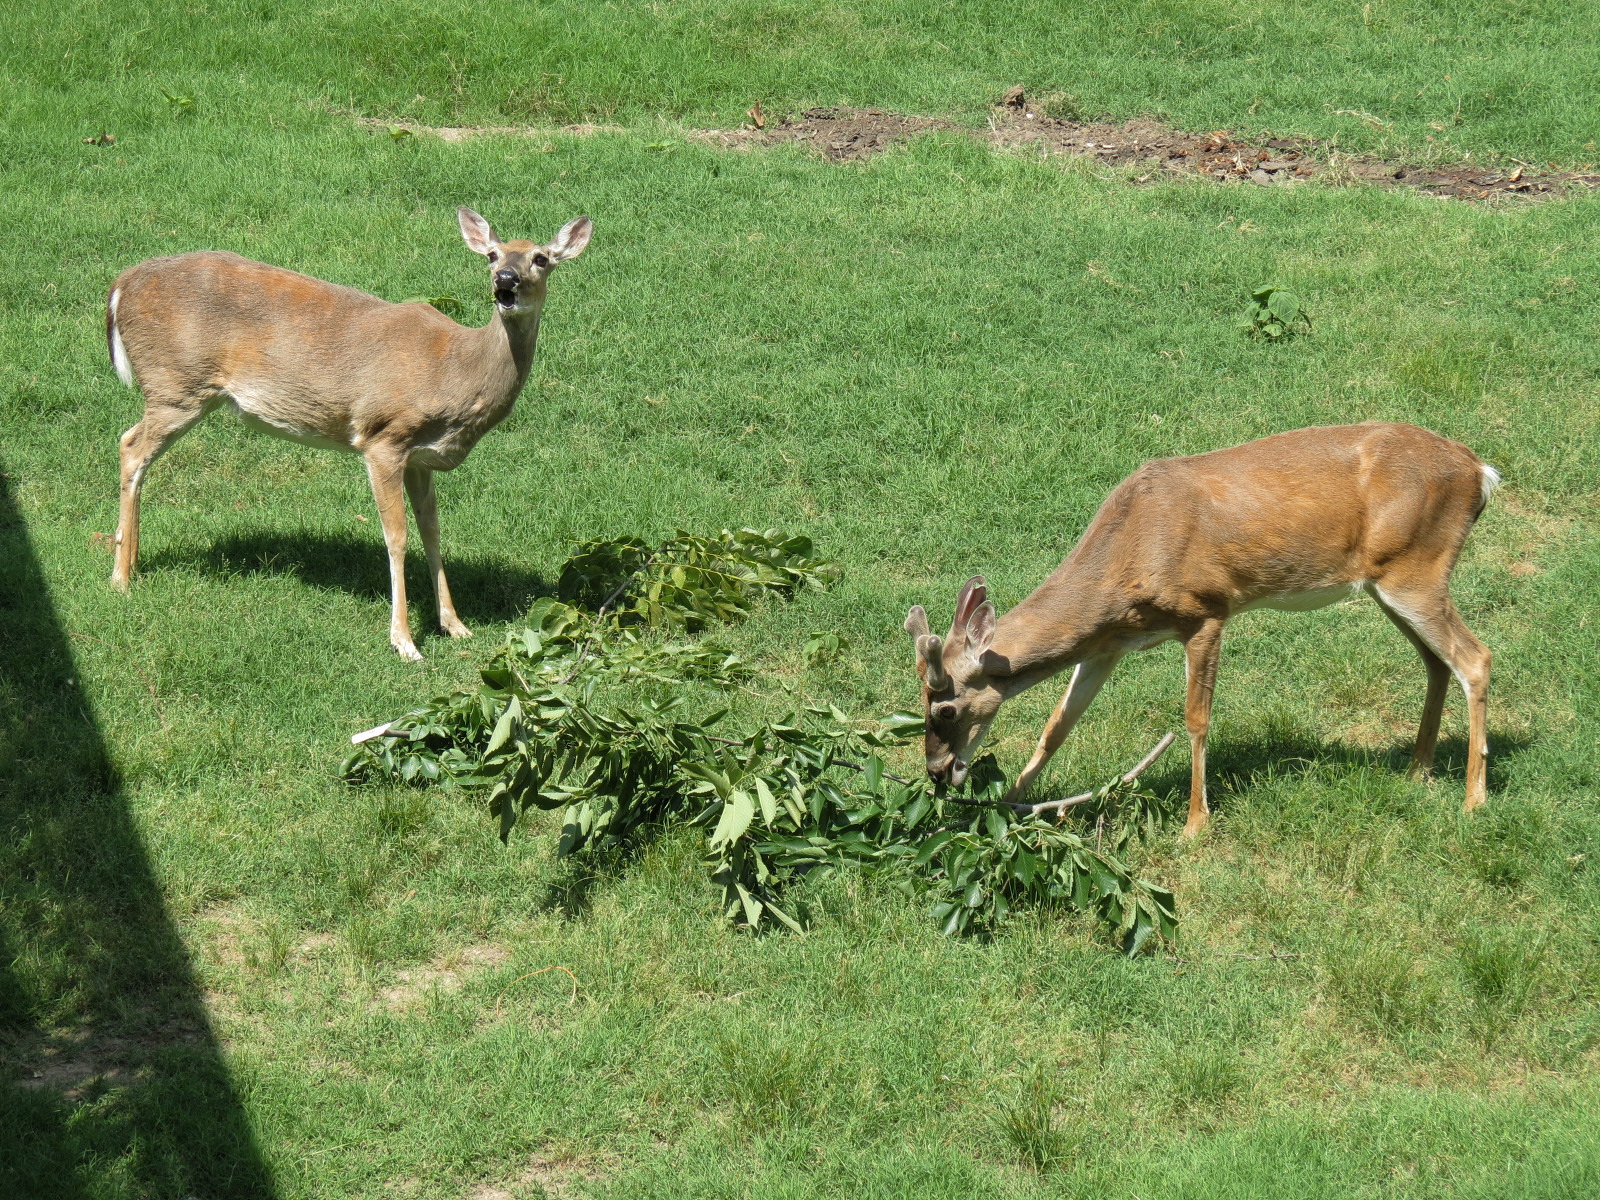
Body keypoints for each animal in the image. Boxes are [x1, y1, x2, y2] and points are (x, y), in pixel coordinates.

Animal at [105, 207, 592, 660]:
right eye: (492, 255)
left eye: (541, 258)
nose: (505, 280)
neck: (456, 371)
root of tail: (119, 286)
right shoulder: (383, 438)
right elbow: (396, 538)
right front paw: (404, 641)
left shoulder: (420, 457)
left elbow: (433, 530)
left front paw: (455, 625)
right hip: (176, 384)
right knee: (130, 446)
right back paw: (120, 580)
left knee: (135, 450)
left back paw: (132, 559)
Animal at [904, 422, 1498, 838]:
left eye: (945, 708)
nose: (935, 772)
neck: (1131, 551)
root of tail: (1480, 472)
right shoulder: (1109, 643)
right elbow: (1058, 724)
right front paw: (1005, 809)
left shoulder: (1207, 611)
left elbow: (1196, 720)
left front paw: (1194, 825)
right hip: (1388, 583)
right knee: (1436, 662)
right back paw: (1418, 771)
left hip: (1417, 571)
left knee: (1476, 658)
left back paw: (1474, 798)